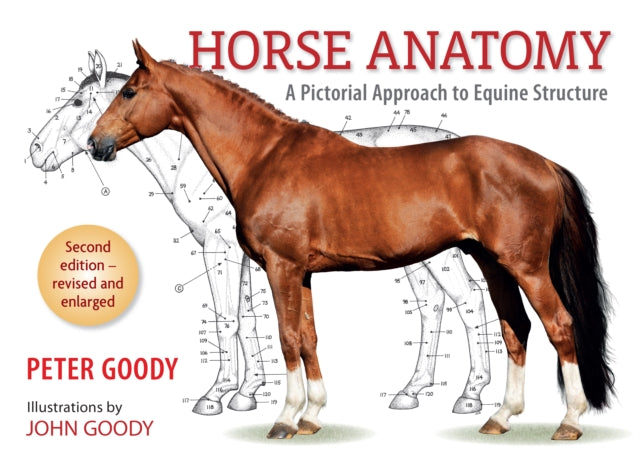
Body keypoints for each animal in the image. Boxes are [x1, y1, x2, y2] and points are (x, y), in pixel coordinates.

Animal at [30, 50, 492, 414]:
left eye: (78, 101)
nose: (36, 152)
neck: (253, 156)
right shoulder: (249, 256)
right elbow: (250, 318)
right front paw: (247, 392)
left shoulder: (220, 249)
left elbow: (228, 319)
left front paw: (216, 396)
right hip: (424, 257)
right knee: (434, 306)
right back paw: (413, 390)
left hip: (442, 256)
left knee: (468, 302)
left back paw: (470, 395)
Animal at [88, 41, 614, 440]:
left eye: (130, 91)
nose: (97, 144)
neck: (265, 156)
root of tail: (543, 163)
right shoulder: (301, 272)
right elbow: (308, 337)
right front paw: (312, 416)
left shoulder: (281, 266)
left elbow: (287, 337)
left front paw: (284, 419)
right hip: (493, 263)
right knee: (515, 329)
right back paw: (500, 417)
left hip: (525, 266)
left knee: (558, 325)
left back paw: (569, 421)